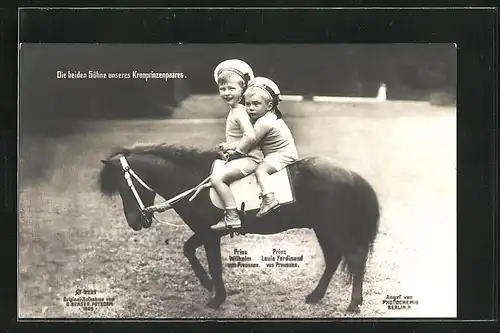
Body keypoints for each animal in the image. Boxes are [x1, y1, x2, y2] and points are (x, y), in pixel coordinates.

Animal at [97, 143, 378, 312]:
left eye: (123, 187)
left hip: (333, 229)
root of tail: (350, 174)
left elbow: (214, 264)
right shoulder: (207, 231)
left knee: (354, 258)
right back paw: (316, 295)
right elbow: (188, 250)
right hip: (323, 229)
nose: (134, 222)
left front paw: (216, 298)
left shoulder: (209, 235)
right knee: (334, 259)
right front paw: (207, 284)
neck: (194, 181)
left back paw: (354, 304)